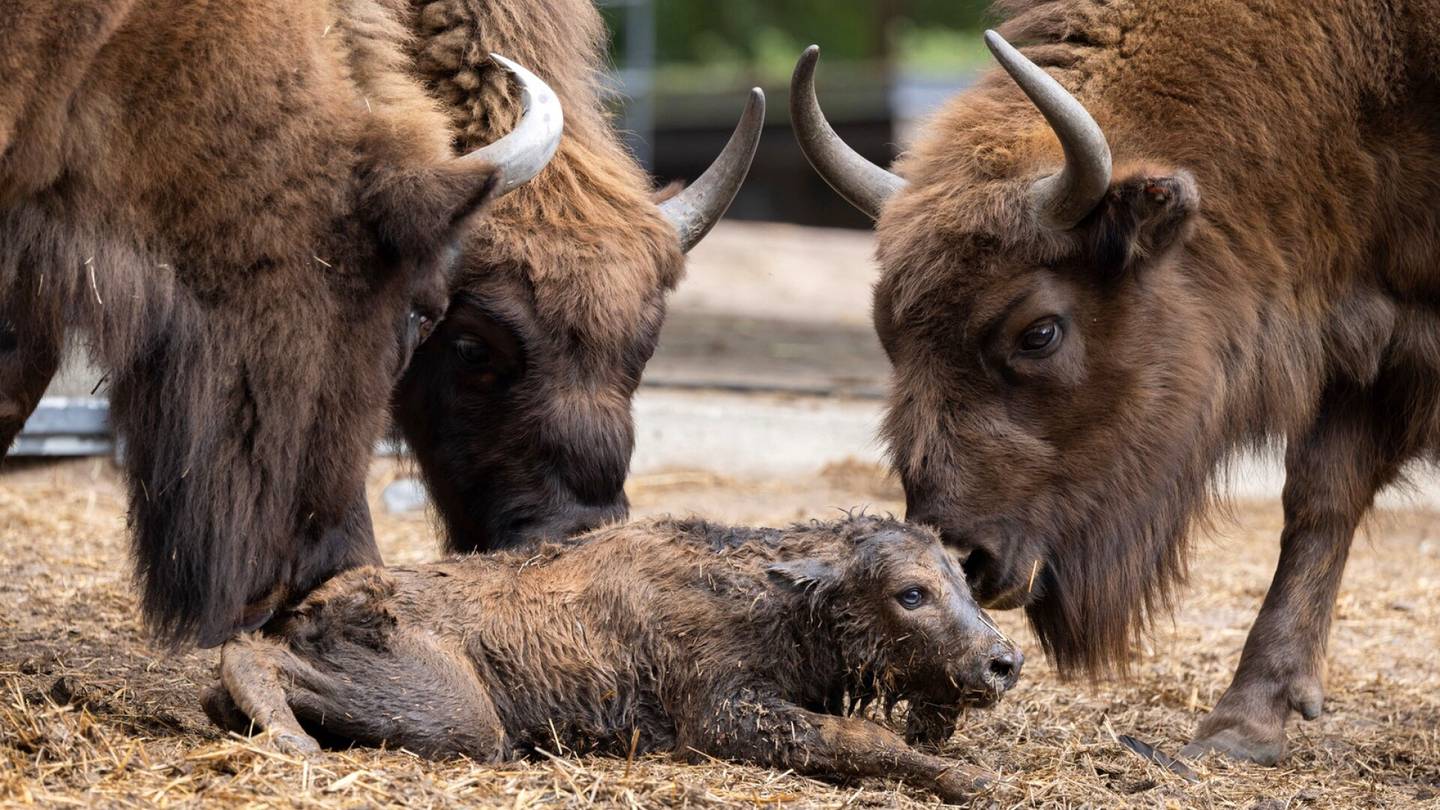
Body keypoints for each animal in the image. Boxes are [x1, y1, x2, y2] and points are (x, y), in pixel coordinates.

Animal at [203, 513, 1025, 795]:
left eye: (962, 580)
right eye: (911, 592)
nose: (1003, 661)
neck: (786, 611)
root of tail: (312, 608)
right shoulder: (719, 716)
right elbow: (864, 739)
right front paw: (979, 781)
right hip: (454, 713)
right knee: (246, 653)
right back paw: (290, 740)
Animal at [794, 0, 1440, 760]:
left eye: (1040, 332)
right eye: (887, 331)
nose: (960, 553)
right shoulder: (1372, 348)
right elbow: (1319, 502)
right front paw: (1242, 725)